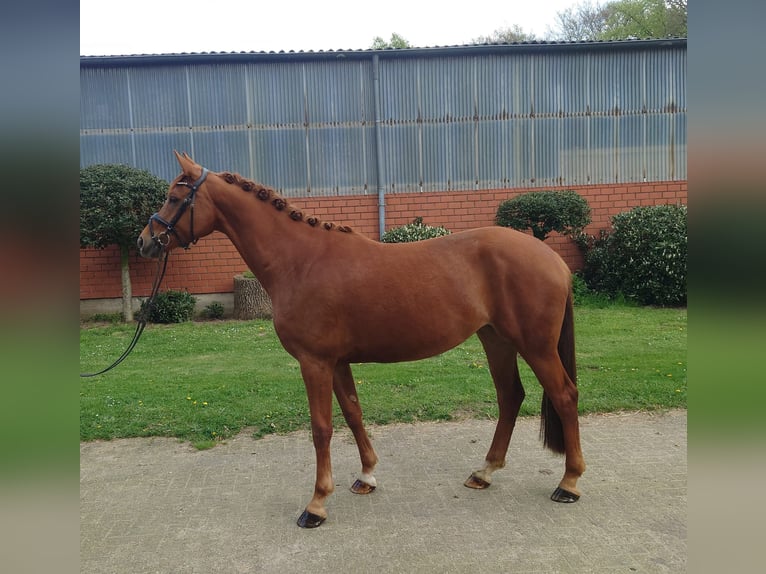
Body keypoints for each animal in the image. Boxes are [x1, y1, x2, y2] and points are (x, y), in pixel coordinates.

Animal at [138, 151, 588, 528]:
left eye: (174, 197)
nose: (145, 240)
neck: (300, 260)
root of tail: (552, 258)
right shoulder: (336, 361)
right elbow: (353, 413)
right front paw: (367, 475)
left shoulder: (314, 362)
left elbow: (321, 428)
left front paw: (316, 504)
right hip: (496, 340)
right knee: (510, 396)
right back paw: (485, 471)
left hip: (535, 345)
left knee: (564, 396)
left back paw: (568, 483)